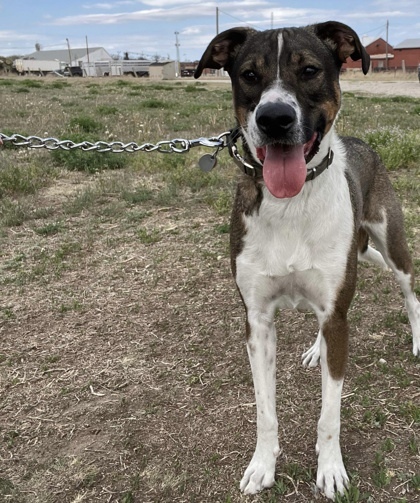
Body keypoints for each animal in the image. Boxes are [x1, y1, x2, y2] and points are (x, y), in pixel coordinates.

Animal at [194, 20, 420, 500]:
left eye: (311, 70)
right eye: (249, 74)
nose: (274, 118)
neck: (291, 204)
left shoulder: (337, 316)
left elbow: (329, 414)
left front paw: (330, 469)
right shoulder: (258, 321)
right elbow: (265, 411)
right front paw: (263, 465)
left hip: (392, 244)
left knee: (410, 293)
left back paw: (416, 340)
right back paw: (317, 349)